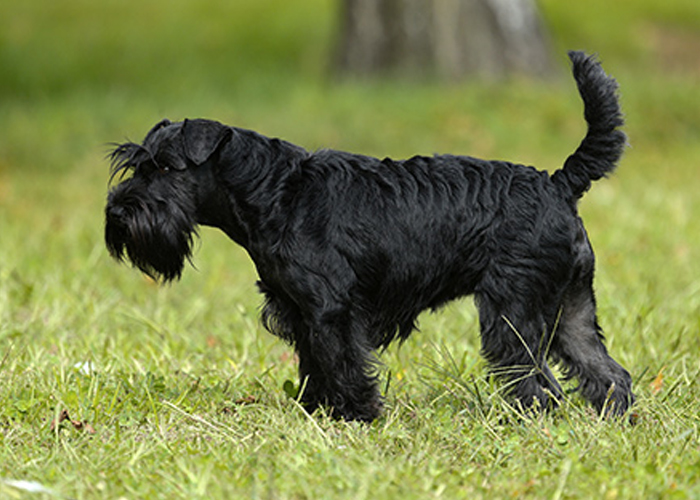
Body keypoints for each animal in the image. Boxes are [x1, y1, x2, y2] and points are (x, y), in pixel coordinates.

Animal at [105, 52, 636, 422]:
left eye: (166, 168)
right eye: (134, 163)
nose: (117, 211)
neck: (275, 191)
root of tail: (558, 182)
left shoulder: (332, 310)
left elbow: (341, 363)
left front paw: (354, 415)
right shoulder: (299, 312)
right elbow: (314, 364)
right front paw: (315, 411)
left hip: (513, 314)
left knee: (539, 382)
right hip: (570, 309)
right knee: (606, 373)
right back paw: (614, 421)